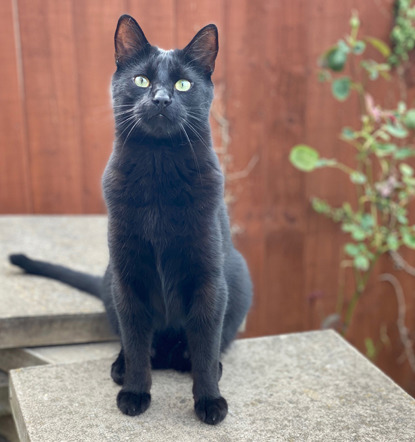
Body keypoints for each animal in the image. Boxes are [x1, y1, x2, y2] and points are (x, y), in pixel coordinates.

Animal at [9, 15, 252, 426]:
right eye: (141, 80)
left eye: (183, 84)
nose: (161, 99)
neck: (159, 170)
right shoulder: (128, 276)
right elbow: (137, 341)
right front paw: (135, 393)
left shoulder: (208, 279)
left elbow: (205, 346)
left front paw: (209, 401)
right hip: (111, 280)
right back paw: (122, 368)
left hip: (237, 277)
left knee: (211, 344)